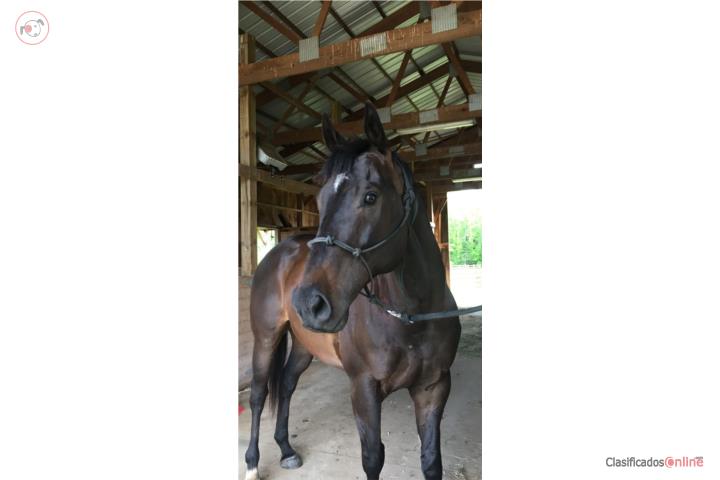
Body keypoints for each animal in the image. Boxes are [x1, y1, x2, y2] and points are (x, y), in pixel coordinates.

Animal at [244, 102, 461, 480]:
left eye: (370, 197)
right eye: (319, 200)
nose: (308, 303)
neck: (410, 317)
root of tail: (277, 253)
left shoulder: (433, 388)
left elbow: (432, 461)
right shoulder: (364, 388)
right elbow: (372, 458)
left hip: (304, 345)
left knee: (286, 384)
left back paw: (286, 449)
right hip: (266, 338)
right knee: (258, 394)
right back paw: (253, 464)